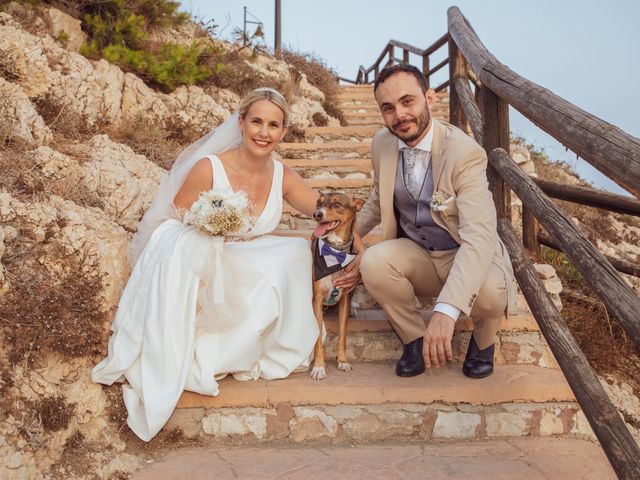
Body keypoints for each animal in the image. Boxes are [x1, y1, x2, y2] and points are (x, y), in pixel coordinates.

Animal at [312, 189, 364, 380]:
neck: (335, 253)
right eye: (318, 202)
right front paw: (319, 367)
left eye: (336, 204)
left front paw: (343, 361)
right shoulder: (317, 300)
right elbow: (318, 337)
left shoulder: (345, 298)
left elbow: (342, 335)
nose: (317, 214)